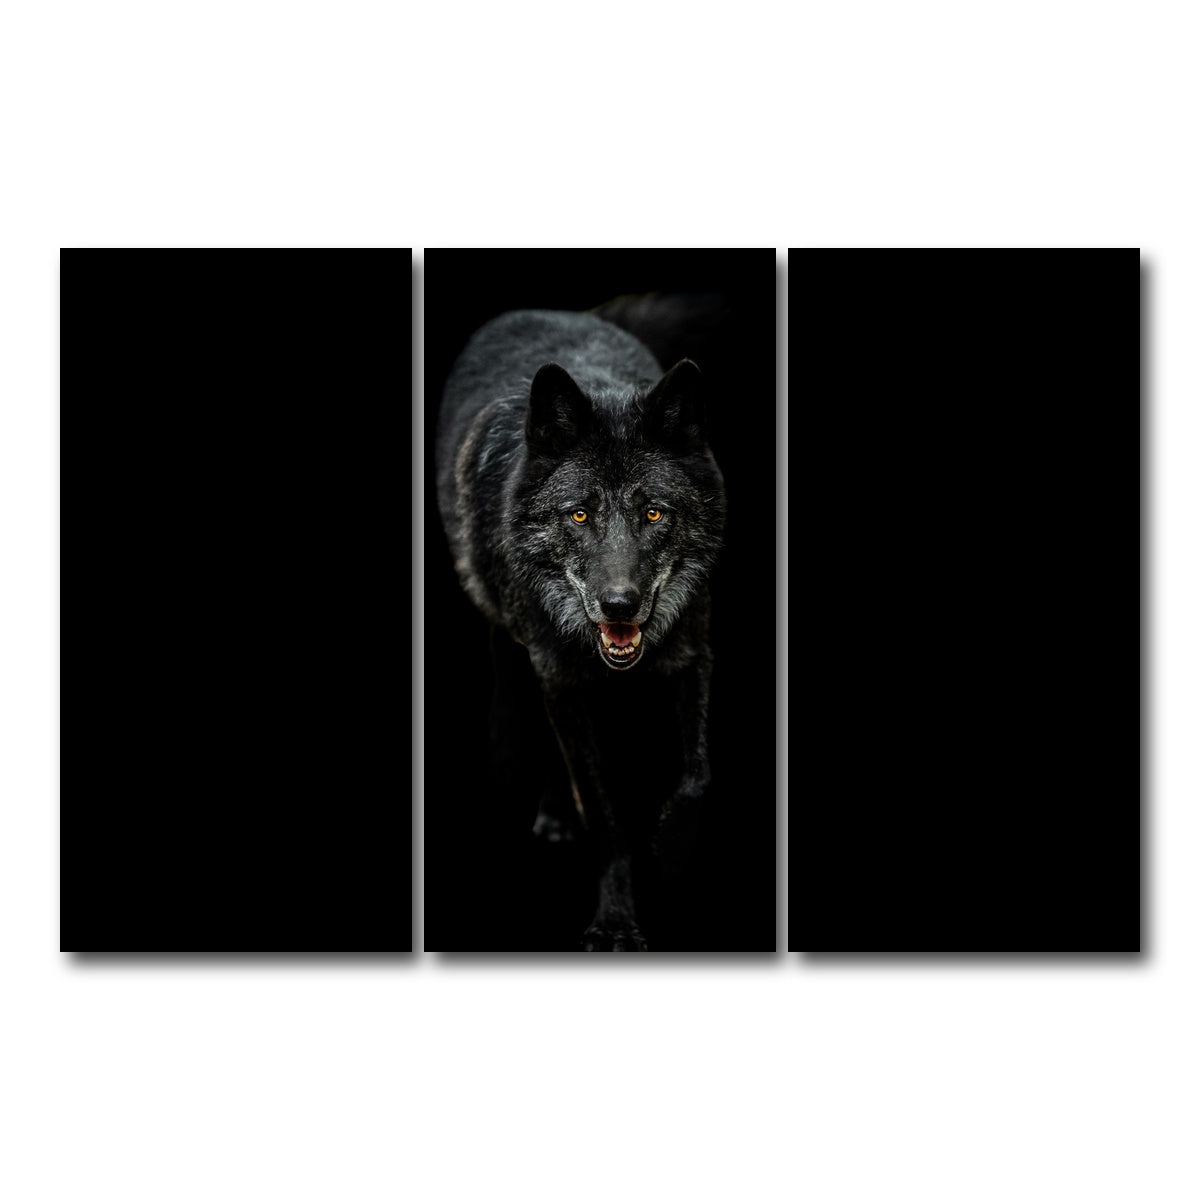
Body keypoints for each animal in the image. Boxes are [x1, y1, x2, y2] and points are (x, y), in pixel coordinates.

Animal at [435, 308, 727, 950]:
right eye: (579, 514)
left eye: (653, 512)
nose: (619, 605)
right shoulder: (559, 680)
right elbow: (602, 810)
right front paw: (616, 917)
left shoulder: (694, 653)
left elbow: (698, 775)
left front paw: (671, 854)